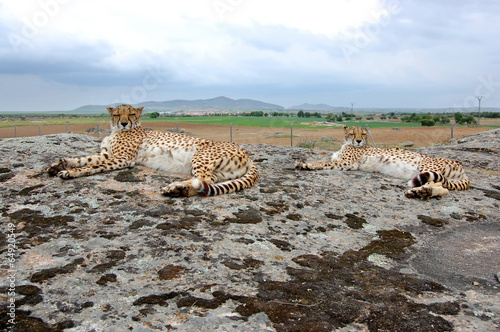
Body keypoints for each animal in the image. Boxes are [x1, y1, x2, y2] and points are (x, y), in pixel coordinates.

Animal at [47, 105, 260, 196]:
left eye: (131, 114)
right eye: (117, 114)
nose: (124, 123)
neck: (116, 131)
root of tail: (247, 153)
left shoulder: (123, 158)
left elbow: (93, 166)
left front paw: (71, 172)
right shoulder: (108, 154)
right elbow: (86, 158)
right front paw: (60, 164)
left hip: (201, 155)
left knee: (204, 180)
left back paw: (177, 188)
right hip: (221, 172)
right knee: (208, 181)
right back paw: (181, 190)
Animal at [294, 126, 470, 200]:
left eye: (363, 134)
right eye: (353, 133)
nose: (358, 140)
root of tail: (460, 165)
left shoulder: (347, 163)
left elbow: (322, 163)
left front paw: (306, 165)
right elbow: (324, 160)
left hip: (425, 167)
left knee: (436, 182)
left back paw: (421, 191)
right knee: (444, 188)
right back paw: (422, 192)